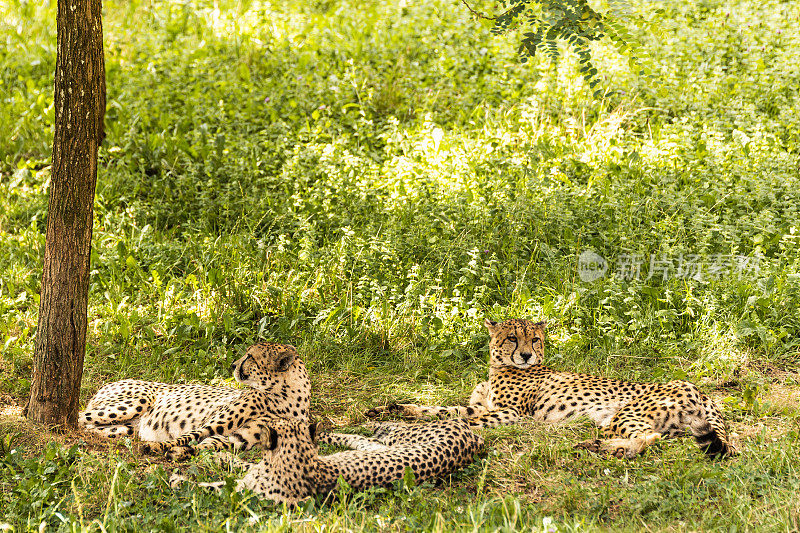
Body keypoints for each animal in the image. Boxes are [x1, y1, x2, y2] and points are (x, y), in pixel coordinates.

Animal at [78, 342, 310, 460]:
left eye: (251, 357)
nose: (233, 365)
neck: (282, 397)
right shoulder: (211, 423)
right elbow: (188, 437)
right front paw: (156, 447)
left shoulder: (238, 439)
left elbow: (208, 445)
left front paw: (182, 452)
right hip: (137, 401)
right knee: (81, 416)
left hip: (125, 427)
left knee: (92, 427)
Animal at [172, 418, 484, 504]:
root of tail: (473, 438)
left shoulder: (244, 491)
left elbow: (211, 484)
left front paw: (181, 477)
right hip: (377, 446)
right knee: (362, 437)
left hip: (402, 437)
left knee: (385, 429)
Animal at [368, 318, 732, 460]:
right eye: (512, 337)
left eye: (534, 339)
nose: (527, 355)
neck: (500, 366)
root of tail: (697, 388)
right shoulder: (483, 405)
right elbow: (440, 410)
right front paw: (391, 409)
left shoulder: (510, 415)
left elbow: (455, 419)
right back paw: (596, 445)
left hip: (625, 413)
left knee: (648, 439)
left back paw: (596, 447)